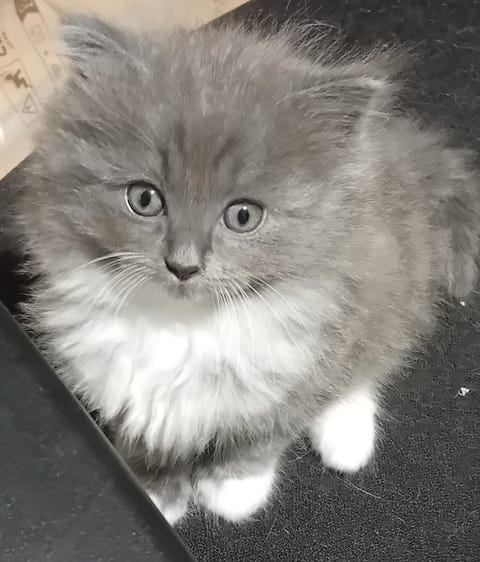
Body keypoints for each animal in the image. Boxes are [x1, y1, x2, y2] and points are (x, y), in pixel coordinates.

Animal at [12, 15, 480, 525]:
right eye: (144, 199)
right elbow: (143, 425)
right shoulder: (115, 374)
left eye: (242, 216)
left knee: (365, 365)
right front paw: (153, 489)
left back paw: (347, 441)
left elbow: (266, 429)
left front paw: (234, 488)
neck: (183, 325)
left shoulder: (303, 356)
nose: (183, 265)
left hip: (384, 291)